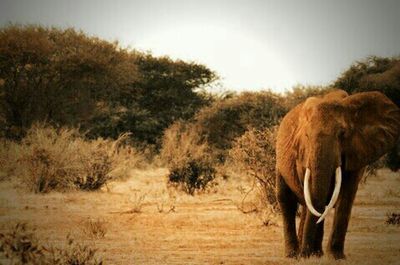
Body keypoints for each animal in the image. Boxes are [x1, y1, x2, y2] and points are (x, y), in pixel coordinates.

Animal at [276, 89, 400, 258]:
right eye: (306, 136)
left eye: (342, 134)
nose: (305, 254)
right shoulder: (302, 153)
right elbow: (311, 195)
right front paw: (309, 255)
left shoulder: (357, 151)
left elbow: (346, 196)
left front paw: (336, 257)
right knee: (286, 200)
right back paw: (294, 255)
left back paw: (315, 253)